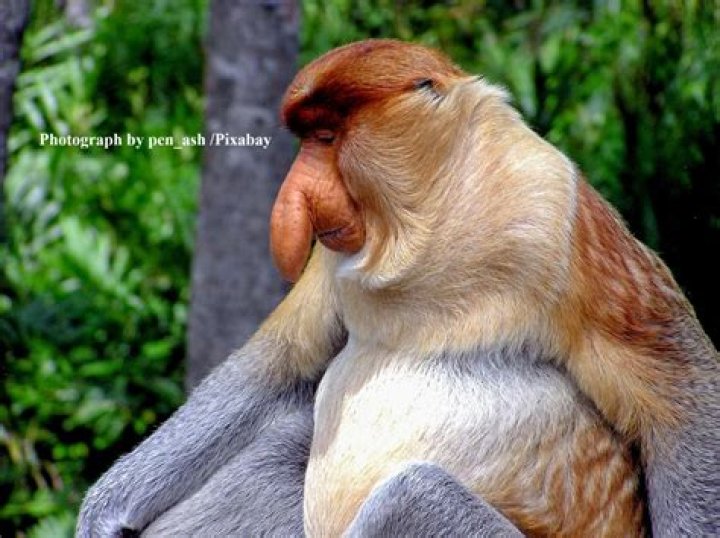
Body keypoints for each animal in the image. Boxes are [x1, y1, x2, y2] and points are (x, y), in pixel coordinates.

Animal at [77, 39, 719, 537]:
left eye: (327, 137)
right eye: (308, 139)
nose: (294, 196)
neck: (432, 221)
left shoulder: (557, 210)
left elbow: (680, 393)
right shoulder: (336, 251)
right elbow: (278, 364)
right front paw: (102, 512)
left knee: (412, 495)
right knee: (283, 443)